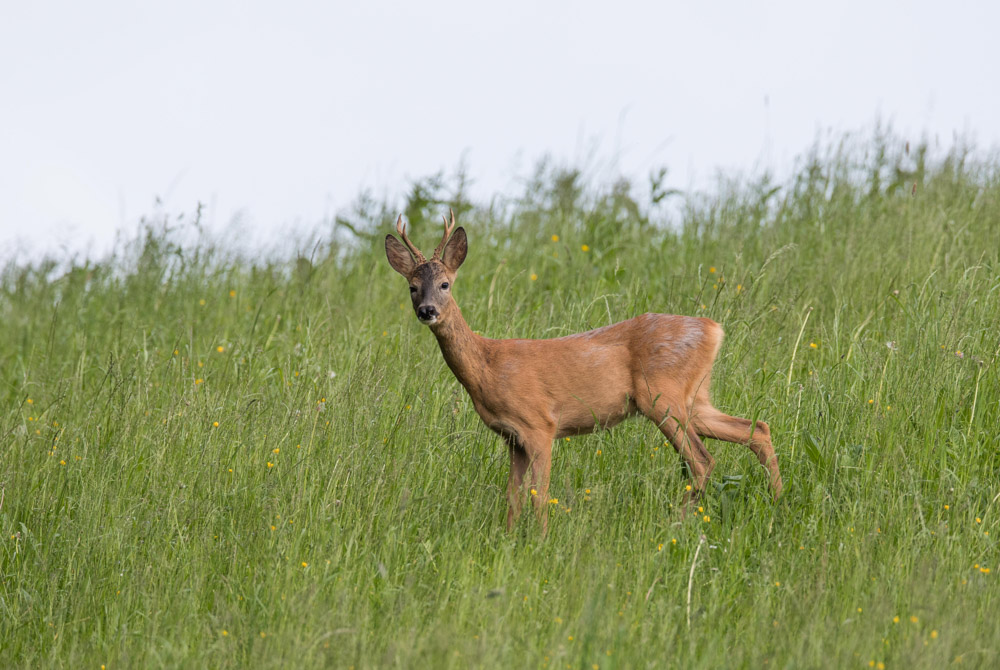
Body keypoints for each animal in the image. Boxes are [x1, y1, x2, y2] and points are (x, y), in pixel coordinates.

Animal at [385, 211, 783, 534]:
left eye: (445, 284)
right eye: (412, 287)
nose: (427, 311)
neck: (487, 366)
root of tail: (713, 329)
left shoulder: (540, 424)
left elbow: (539, 494)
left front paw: (540, 542)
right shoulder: (511, 437)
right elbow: (513, 497)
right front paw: (509, 540)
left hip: (662, 397)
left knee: (702, 461)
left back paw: (677, 525)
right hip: (694, 398)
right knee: (757, 430)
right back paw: (777, 504)